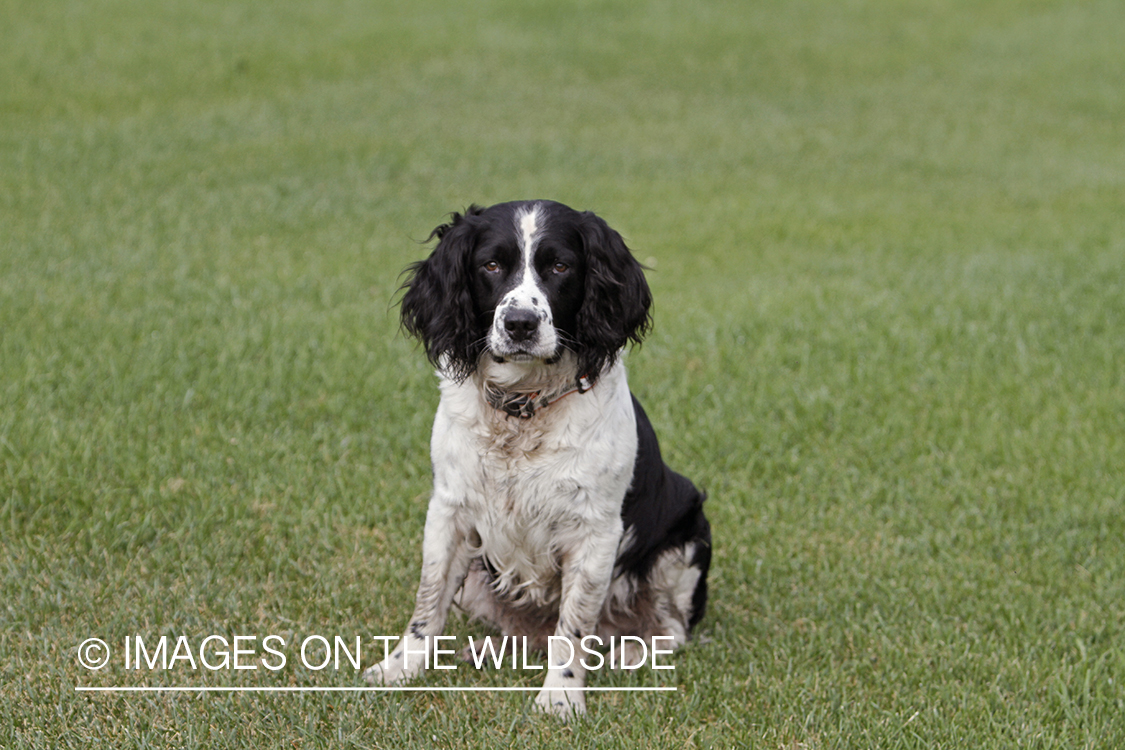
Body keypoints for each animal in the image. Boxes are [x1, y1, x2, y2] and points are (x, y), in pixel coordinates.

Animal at [369, 202, 711, 719]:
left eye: (560, 266)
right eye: (491, 265)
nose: (520, 324)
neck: (524, 407)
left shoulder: (595, 531)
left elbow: (573, 628)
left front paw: (561, 695)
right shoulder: (449, 512)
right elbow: (426, 603)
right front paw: (398, 668)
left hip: (687, 535)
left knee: (668, 628)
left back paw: (634, 650)